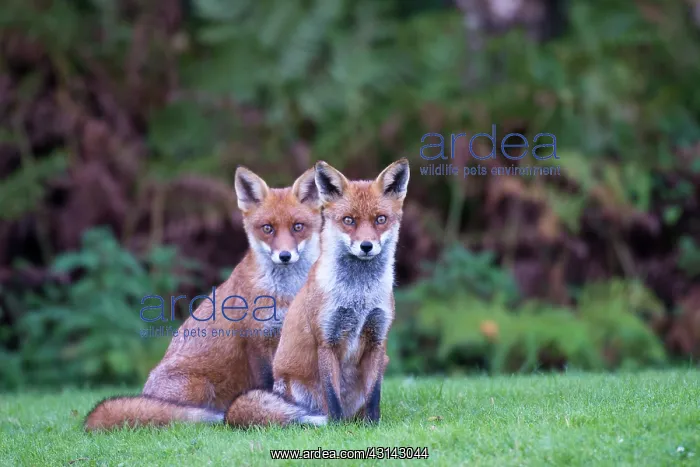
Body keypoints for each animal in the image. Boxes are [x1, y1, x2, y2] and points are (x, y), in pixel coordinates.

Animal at [84, 166, 323, 431]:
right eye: (267, 228)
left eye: (298, 227)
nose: (285, 255)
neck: (284, 293)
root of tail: (147, 393)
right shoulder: (256, 339)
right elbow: (268, 382)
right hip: (199, 387)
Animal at [224, 158, 410, 428]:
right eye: (348, 220)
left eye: (380, 219)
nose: (366, 246)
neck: (358, 296)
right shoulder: (326, 340)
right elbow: (332, 396)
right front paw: (337, 428)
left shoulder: (378, 340)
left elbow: (373, 395)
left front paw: (372, 426)